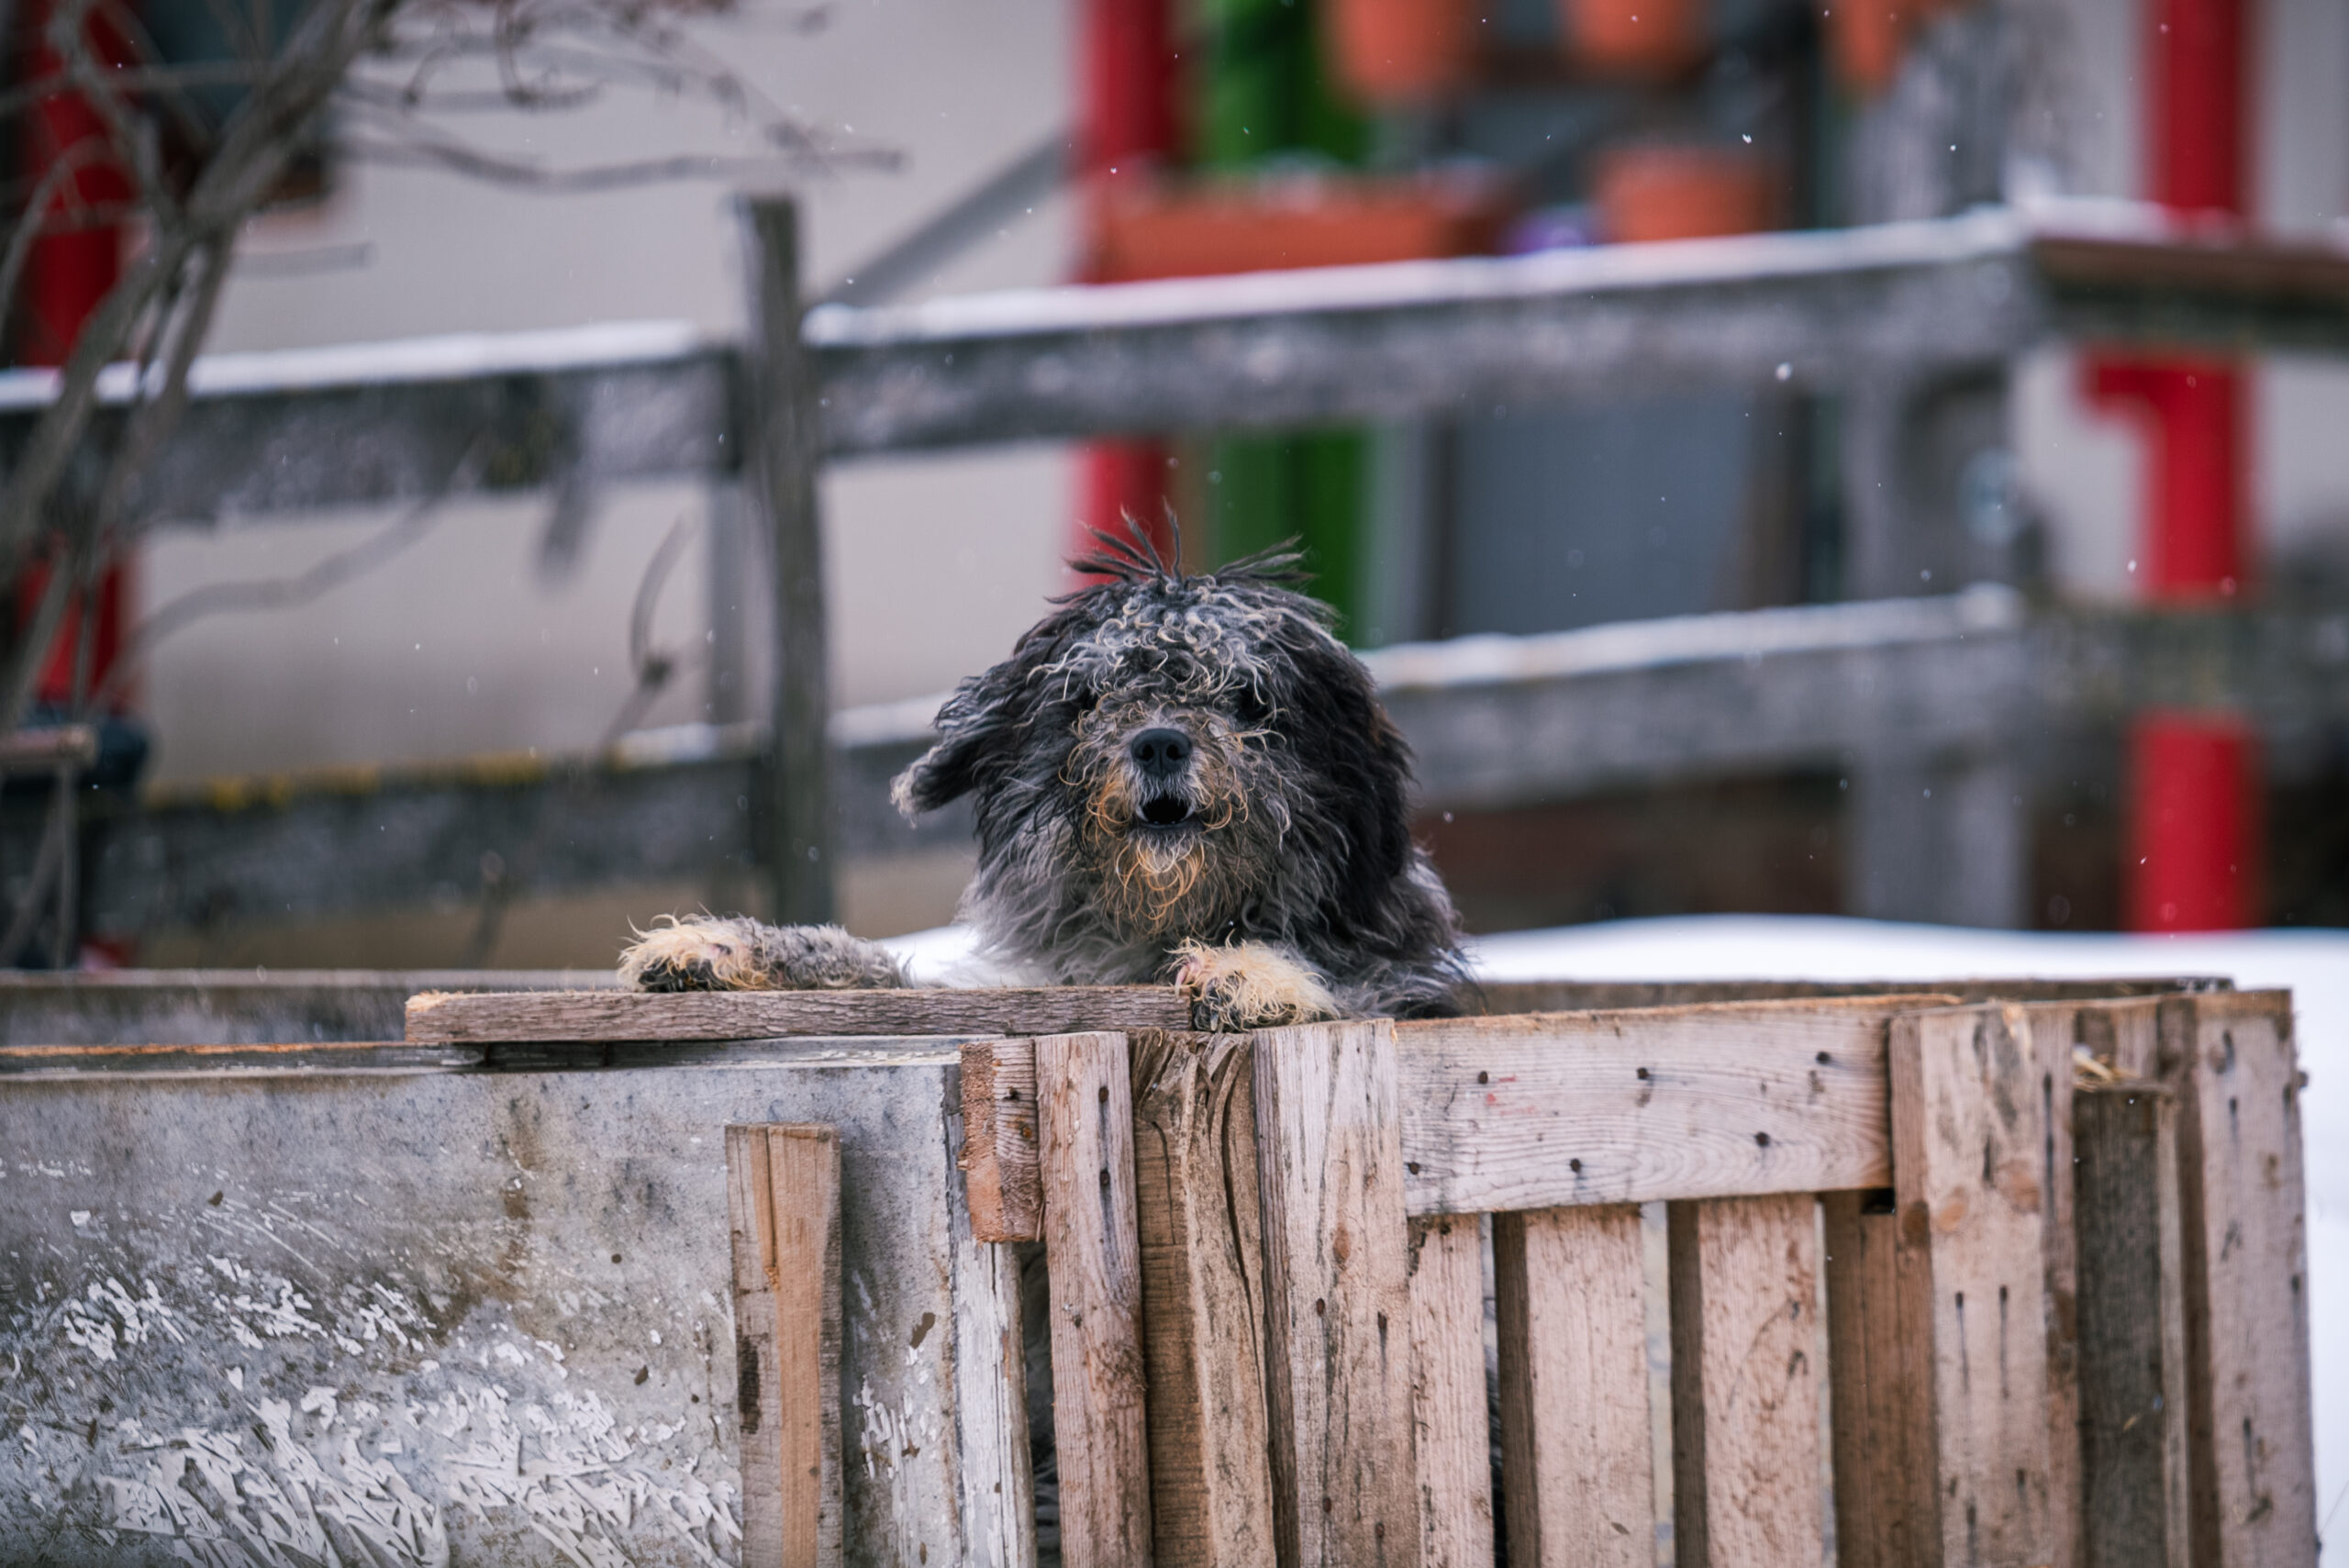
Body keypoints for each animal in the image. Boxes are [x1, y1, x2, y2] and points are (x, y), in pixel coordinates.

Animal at [618, 529, 1467, 1030]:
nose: (1160, 743)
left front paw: (1254, 971)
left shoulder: (1408, 994)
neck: (1154, 927)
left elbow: (1348, 989)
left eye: (1249, 698)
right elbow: (868, 967)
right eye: (1088, 697)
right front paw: (721, 945)